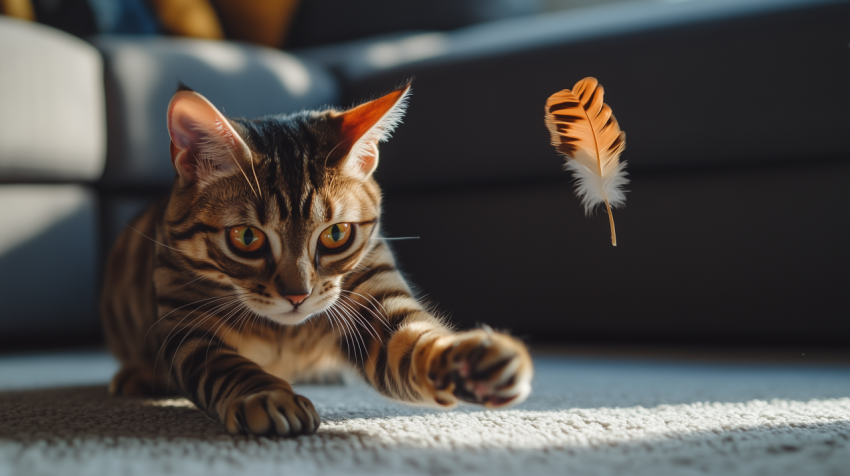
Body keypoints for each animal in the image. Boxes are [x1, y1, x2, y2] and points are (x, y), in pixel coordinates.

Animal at [101, 82, 528, 436]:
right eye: (247, 238)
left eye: (336, 235)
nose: (297, 296)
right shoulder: (188, 324)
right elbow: (225, 366)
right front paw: (267, 396)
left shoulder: (377, 301)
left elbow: (417, 341)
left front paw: (469, 360)